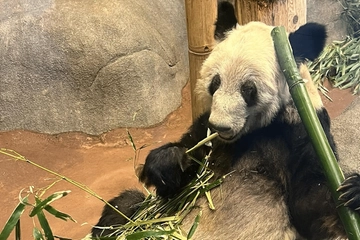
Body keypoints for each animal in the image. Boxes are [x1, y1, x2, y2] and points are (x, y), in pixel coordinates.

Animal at [91, 1, 360, 240]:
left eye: (248, 89)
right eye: (215, 82)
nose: (221, 126)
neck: (253, 132)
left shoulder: (303, 129)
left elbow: (312, 205)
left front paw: (353, 192)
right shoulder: (205, 130)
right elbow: (180, 182)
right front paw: (168, 161)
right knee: (124, 207)